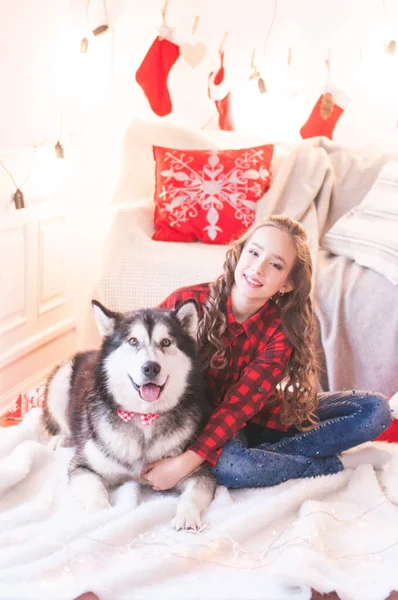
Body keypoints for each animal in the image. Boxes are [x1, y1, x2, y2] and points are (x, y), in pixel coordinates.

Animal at [42, 300, 216, 528]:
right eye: (133, 341)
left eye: (166, 342)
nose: (151, 367)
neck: (144, 418)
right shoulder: (82, 466)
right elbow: (96, 491)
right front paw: (101, 513)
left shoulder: (195, 470)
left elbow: (193, 494)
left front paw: (186, 515)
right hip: (61, 380)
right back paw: (62, 438)